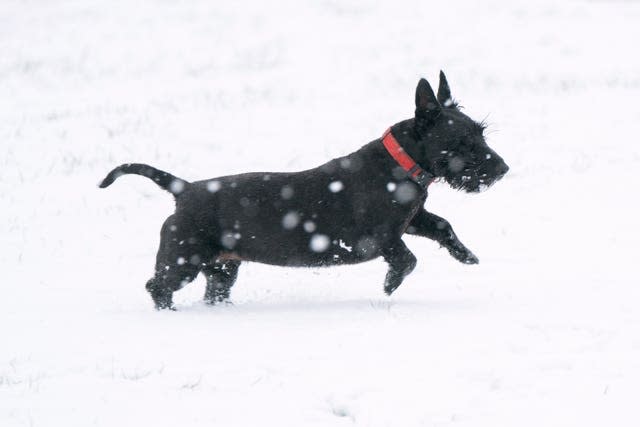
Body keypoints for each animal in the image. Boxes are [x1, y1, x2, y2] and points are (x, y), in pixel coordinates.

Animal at [101, 72, 510, 310]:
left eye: (481, 133)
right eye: (461, 142)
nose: (502, 169)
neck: (400, 165)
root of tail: (183, 189)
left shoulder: (412, 219)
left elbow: (442, 225)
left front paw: (466, 255)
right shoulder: (380, 237)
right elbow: (406, 259)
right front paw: (390, 286)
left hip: (221, 267)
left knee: (213, 288)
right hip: (183, 259)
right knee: (157, 285)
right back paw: (168, 313)